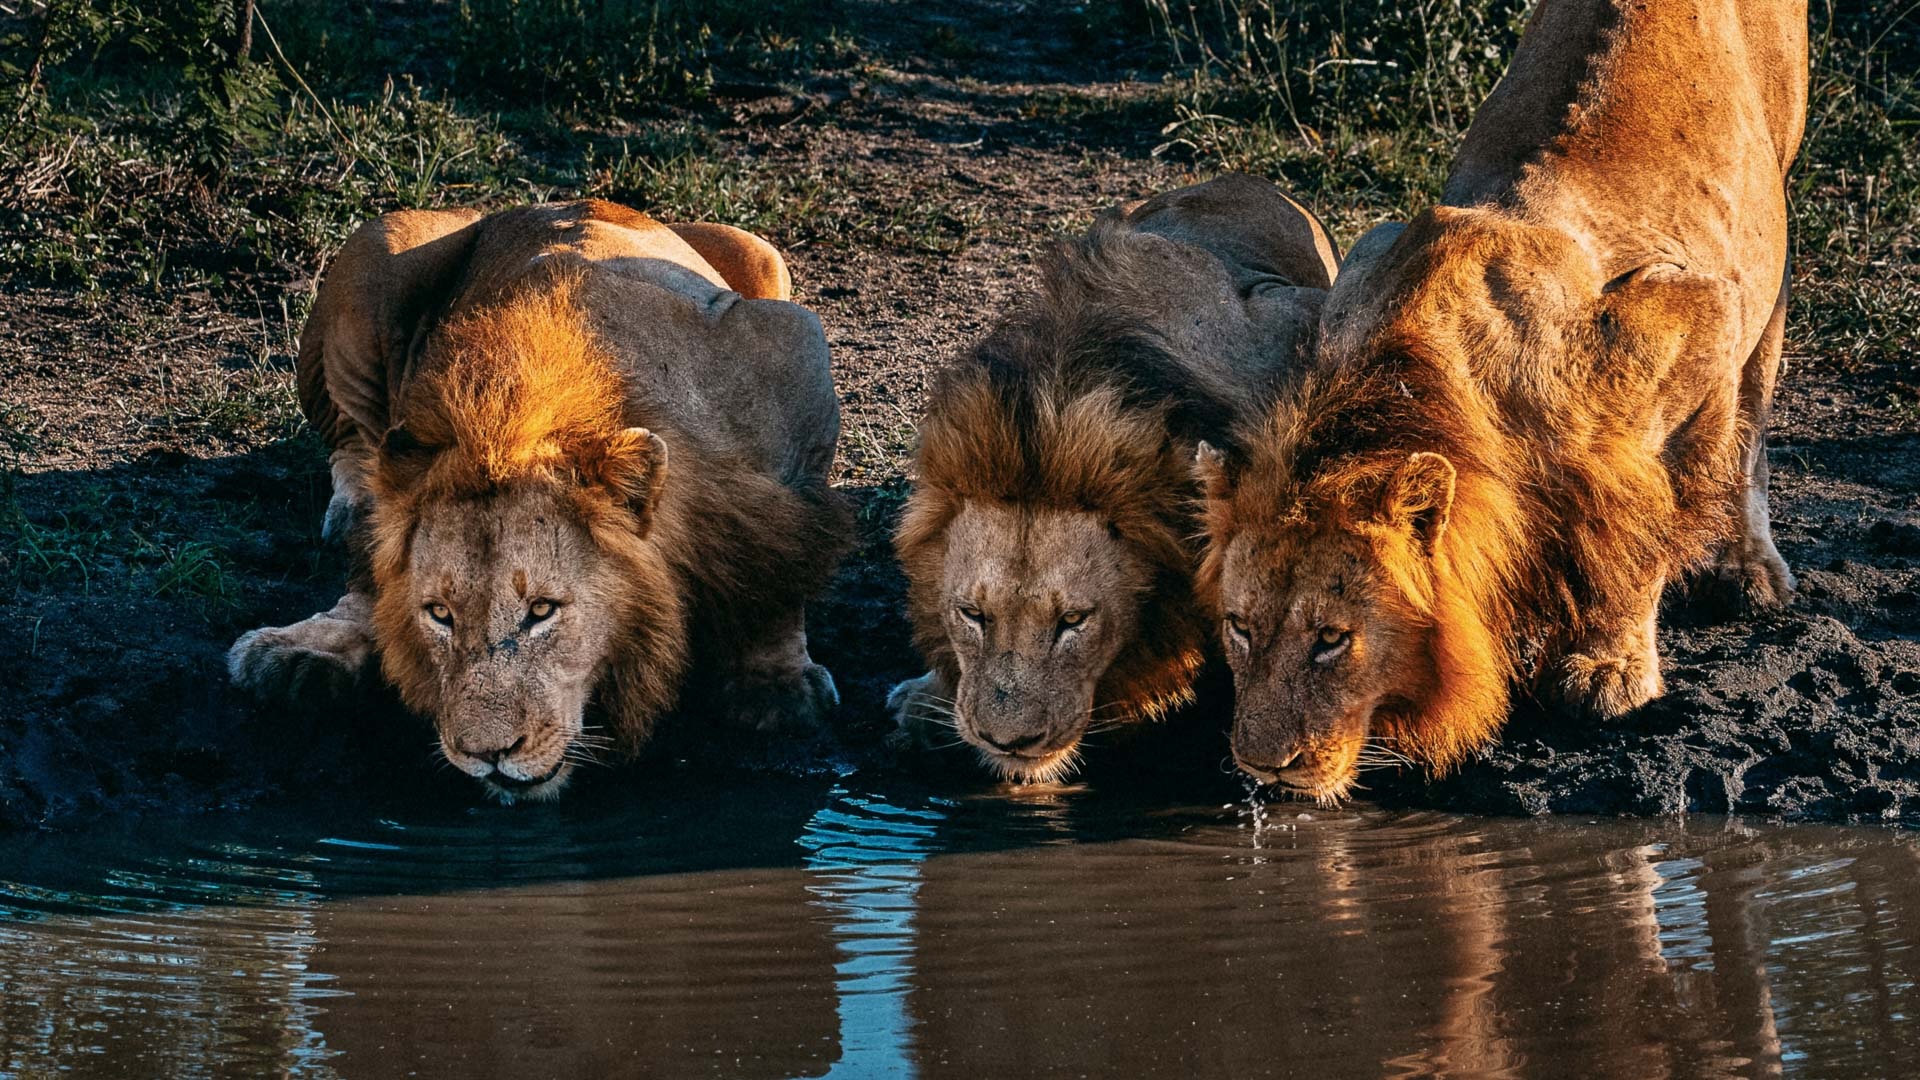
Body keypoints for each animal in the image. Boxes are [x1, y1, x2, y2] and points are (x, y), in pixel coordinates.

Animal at [228, 200, 851, 802]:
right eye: (439, 614)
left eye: (543, 611)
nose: (486, 754)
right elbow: (372, 561)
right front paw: (314, 646)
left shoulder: (793, 353)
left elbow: (789, 546)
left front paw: (773, 684)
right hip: (374, 249)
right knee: (354, 442)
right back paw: (350, 504)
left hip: (762, 253)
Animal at [1193, 0, 1808, 803]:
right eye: (1239, 626)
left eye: (1332, 639)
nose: (1261, 765)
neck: (1417, 377)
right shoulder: (1366, 256)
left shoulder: (1699, 311)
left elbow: (1642, 530)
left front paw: (1609, 668)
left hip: (1772, 242)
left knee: (1752, 427)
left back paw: (1751, 570)